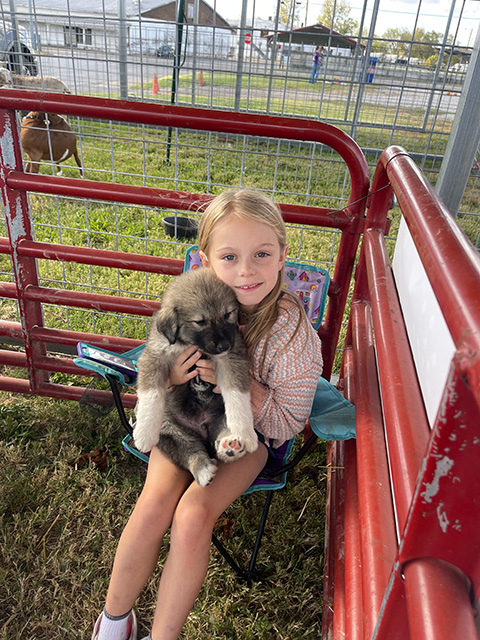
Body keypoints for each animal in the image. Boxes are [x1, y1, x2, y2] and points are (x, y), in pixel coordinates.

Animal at [131, 266, 258, 484]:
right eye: (200, 321)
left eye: (228, 314)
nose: (224, 345)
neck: (192, 344)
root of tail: (201, 429)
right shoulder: (155, 355)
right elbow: (152, 393)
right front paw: (144, 433)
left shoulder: (232, 358)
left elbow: (237, 395)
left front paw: (245, 432)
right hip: (169, 430)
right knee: (189, 450)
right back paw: (203, 468)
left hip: (220, 418)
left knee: (218, 441)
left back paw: (232, 445)